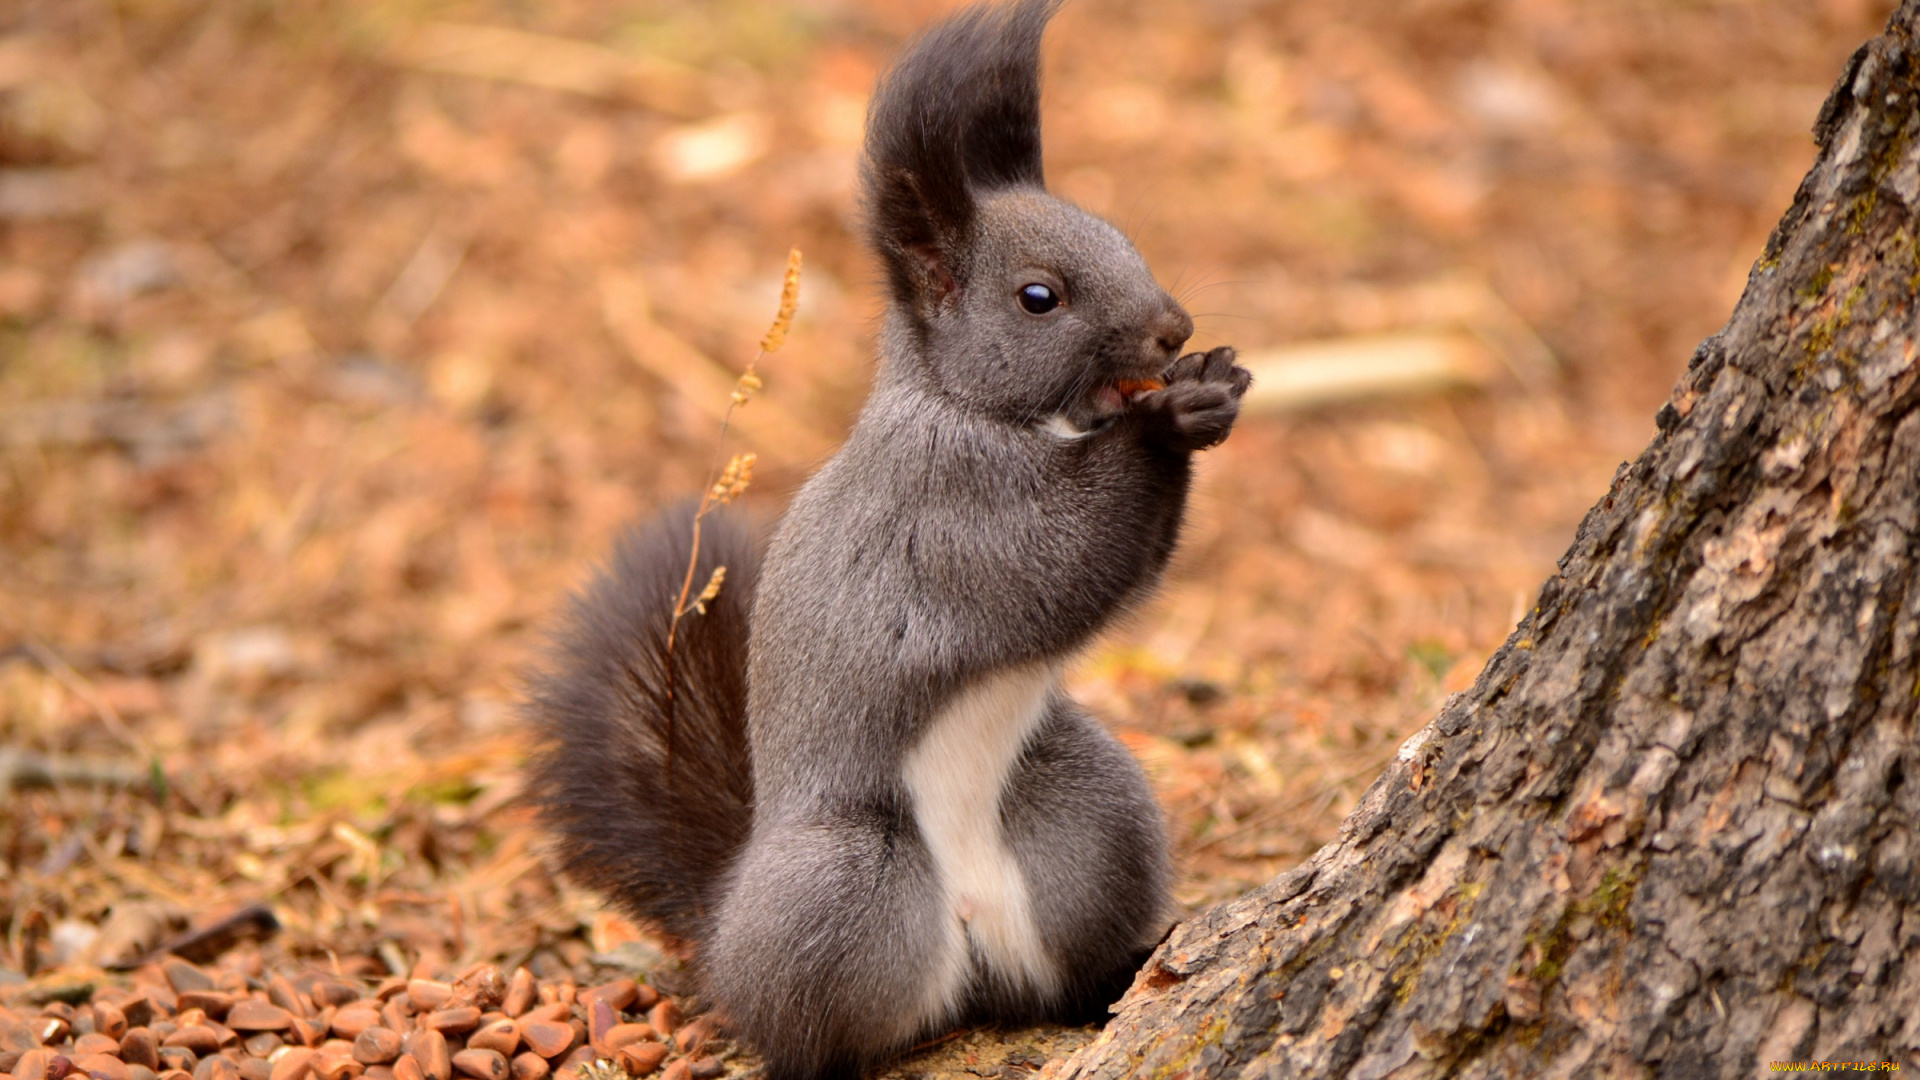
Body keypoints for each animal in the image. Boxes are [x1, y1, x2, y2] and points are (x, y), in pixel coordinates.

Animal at [518, 2, 1251, 1076]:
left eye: (1121, 236)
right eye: (1039, 297)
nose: (1174, 329)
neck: (974, 407)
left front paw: (1215, 384)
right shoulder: (948, 511)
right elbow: (1058, 563)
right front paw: (1172, 420)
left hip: (1091, 816)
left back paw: (1121, 971)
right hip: (850, 885)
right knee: (805, 1028)